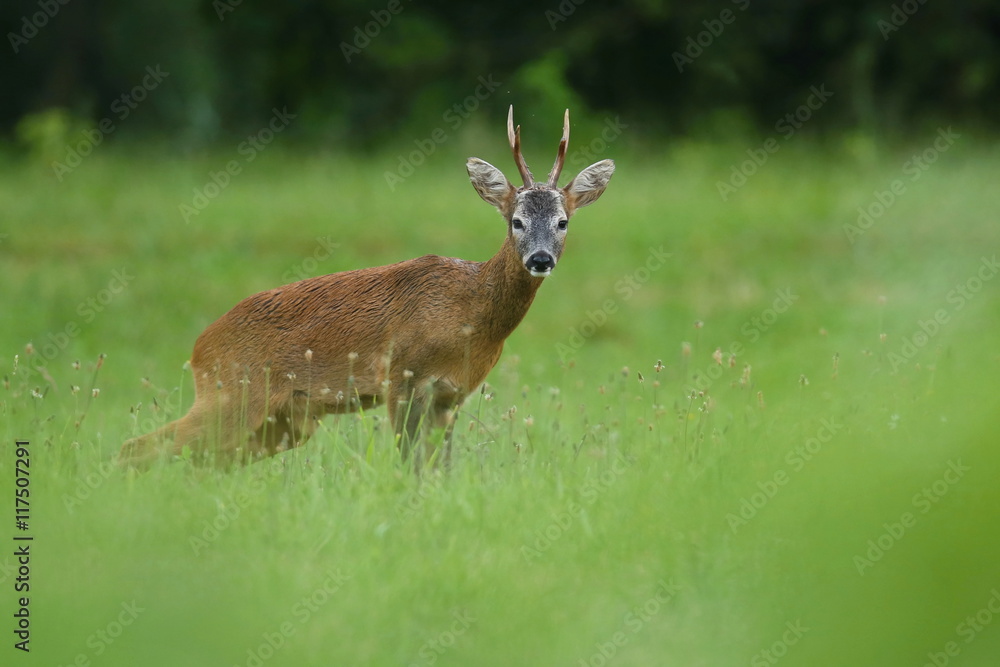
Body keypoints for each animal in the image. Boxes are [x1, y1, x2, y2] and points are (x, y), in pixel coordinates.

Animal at [119, 106, 615, 469]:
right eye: (516, 220)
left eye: (563, 221)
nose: (540, 259)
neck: (470, 315)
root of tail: (200, 347)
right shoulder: (401, 376)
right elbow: (407, 463)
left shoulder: (452, 393)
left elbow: (439, 467)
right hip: (233, 395)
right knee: (140, 448)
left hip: (281, 422)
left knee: (196, 458)